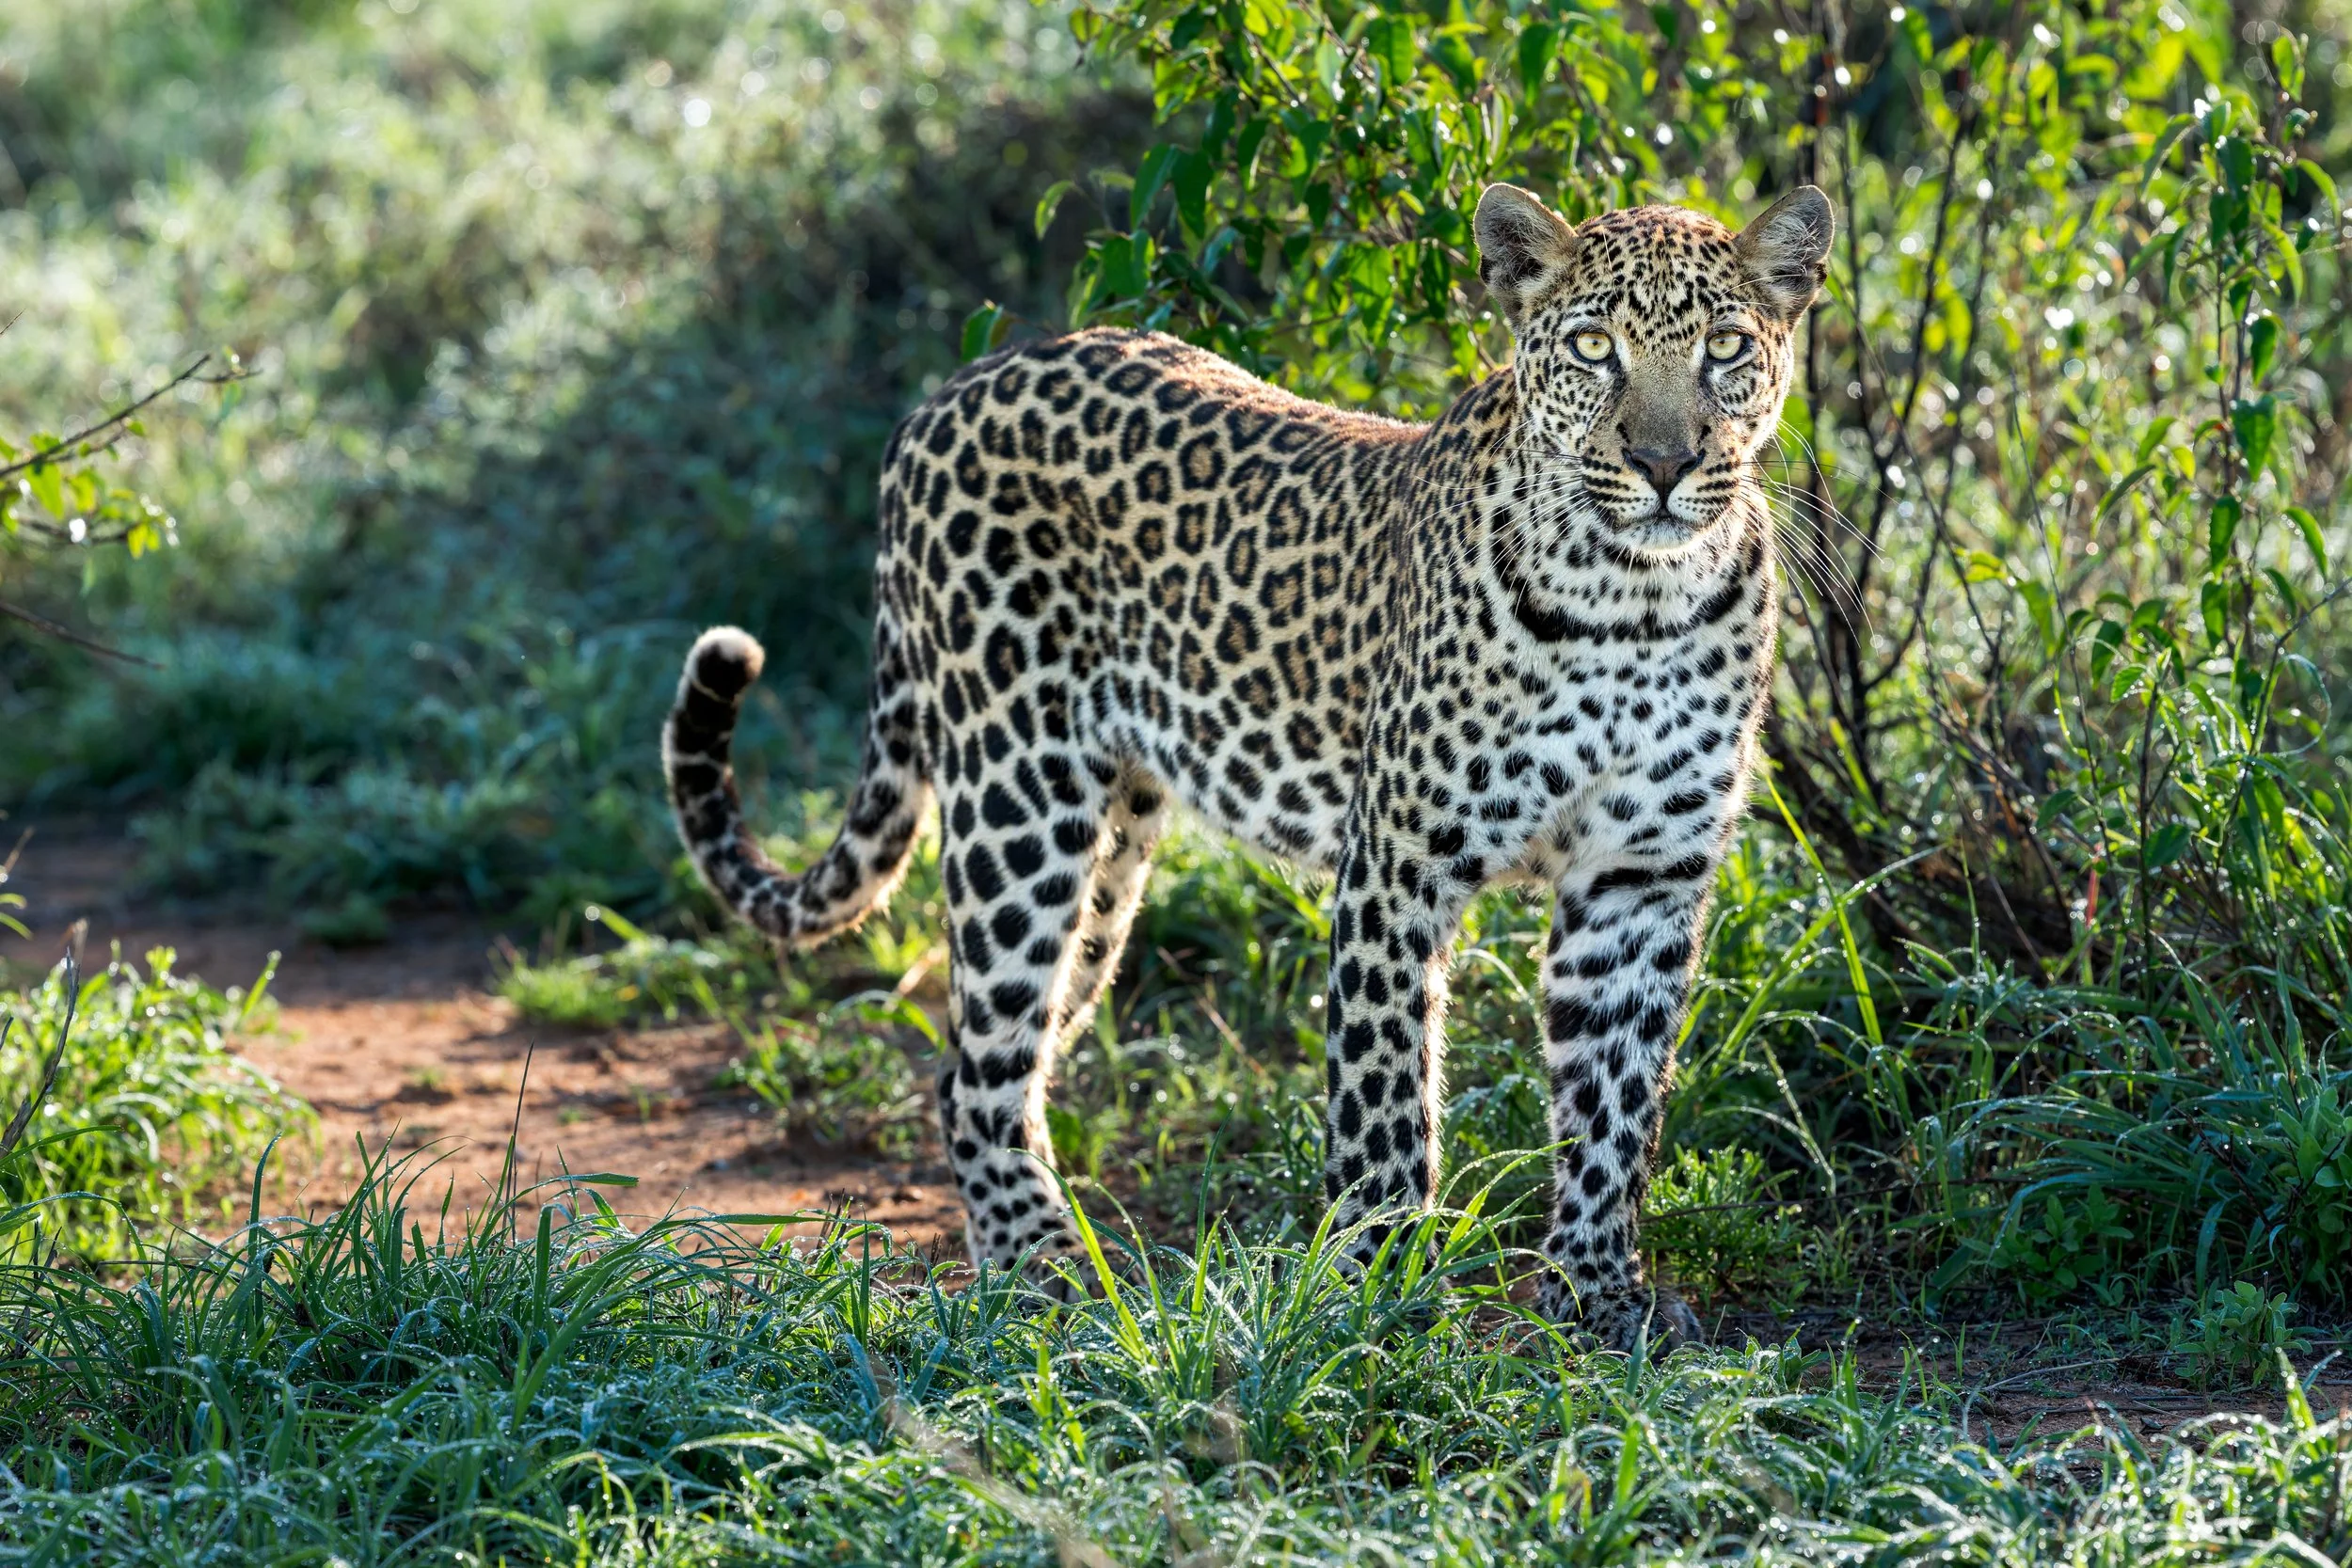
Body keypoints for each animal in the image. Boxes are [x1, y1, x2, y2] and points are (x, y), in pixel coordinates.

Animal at [662, 181, 1833, 1349]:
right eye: (1595, 347)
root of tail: (946, 394)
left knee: (997, 1052)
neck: (1635, 601)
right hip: (1016, 800)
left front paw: (1595, 1295)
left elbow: (1615, 1103)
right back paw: (1043, 1272)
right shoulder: (1398, 864)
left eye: (1727, 348)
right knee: (974, 1069)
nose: (1663, 465)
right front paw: (1383, 1294)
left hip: (1109, 856)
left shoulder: (1640, 877)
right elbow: (1382, 1100)